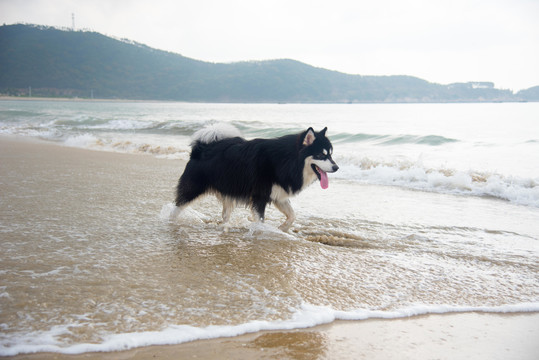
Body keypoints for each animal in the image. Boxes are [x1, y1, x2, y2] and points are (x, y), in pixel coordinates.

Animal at [171, 124, 340, 231]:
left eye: (331, 154)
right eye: (321, 155)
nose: (336, 168)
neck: (286, 160)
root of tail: (200, 148)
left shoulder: (279, 195)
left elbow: (292, 216)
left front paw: (282, 228)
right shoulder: (260, 196)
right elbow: (260, 219)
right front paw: (261, 231)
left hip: (229, 192)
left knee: (225, 215)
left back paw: (225, 227)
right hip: (192, 189)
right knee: (177, 206)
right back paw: (170, 222)